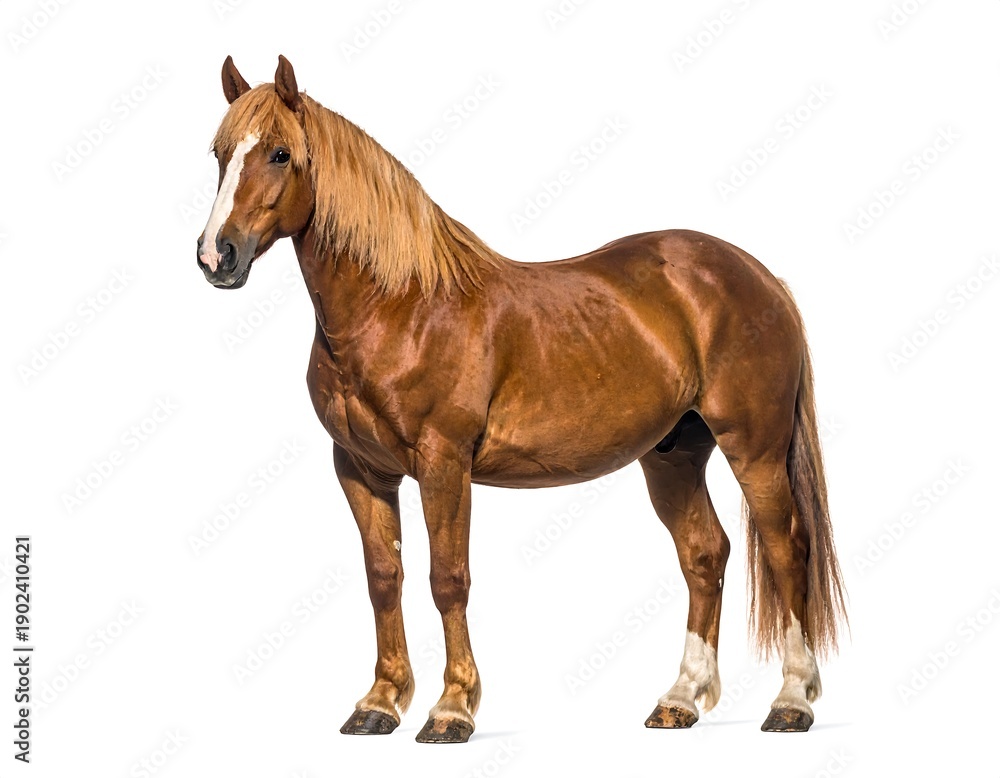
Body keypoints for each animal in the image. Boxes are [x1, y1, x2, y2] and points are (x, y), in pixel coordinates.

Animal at [196, 55, 846, 743]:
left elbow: (447, 579)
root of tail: (760, 276)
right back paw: (681, 699)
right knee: (703, 553)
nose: (217, 255)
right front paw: (379, 703)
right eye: (220, 153)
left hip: (755, 449)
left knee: (787, 549)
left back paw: (792, 702)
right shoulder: (360, 470)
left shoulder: (444, 464)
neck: (400, 306)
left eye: (280, 154)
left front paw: (452, 709)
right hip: (673, 454)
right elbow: (384, 580)